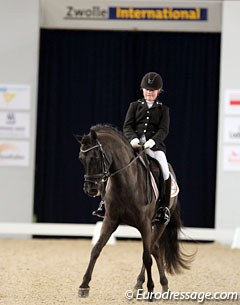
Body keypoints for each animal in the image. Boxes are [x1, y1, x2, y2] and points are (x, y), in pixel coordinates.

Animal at [76, 124, 192, 300]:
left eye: (95, 157)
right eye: (81, 159)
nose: (91, 189)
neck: (125, 182)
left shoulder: (144, 224)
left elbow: (146, 256)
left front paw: (150, 289)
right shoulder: (110, 220)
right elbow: (96, 249)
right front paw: (84, 286)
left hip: (161, 223)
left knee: (151, 250)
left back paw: (147, 284)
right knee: (155, 249)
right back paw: (158, 284)